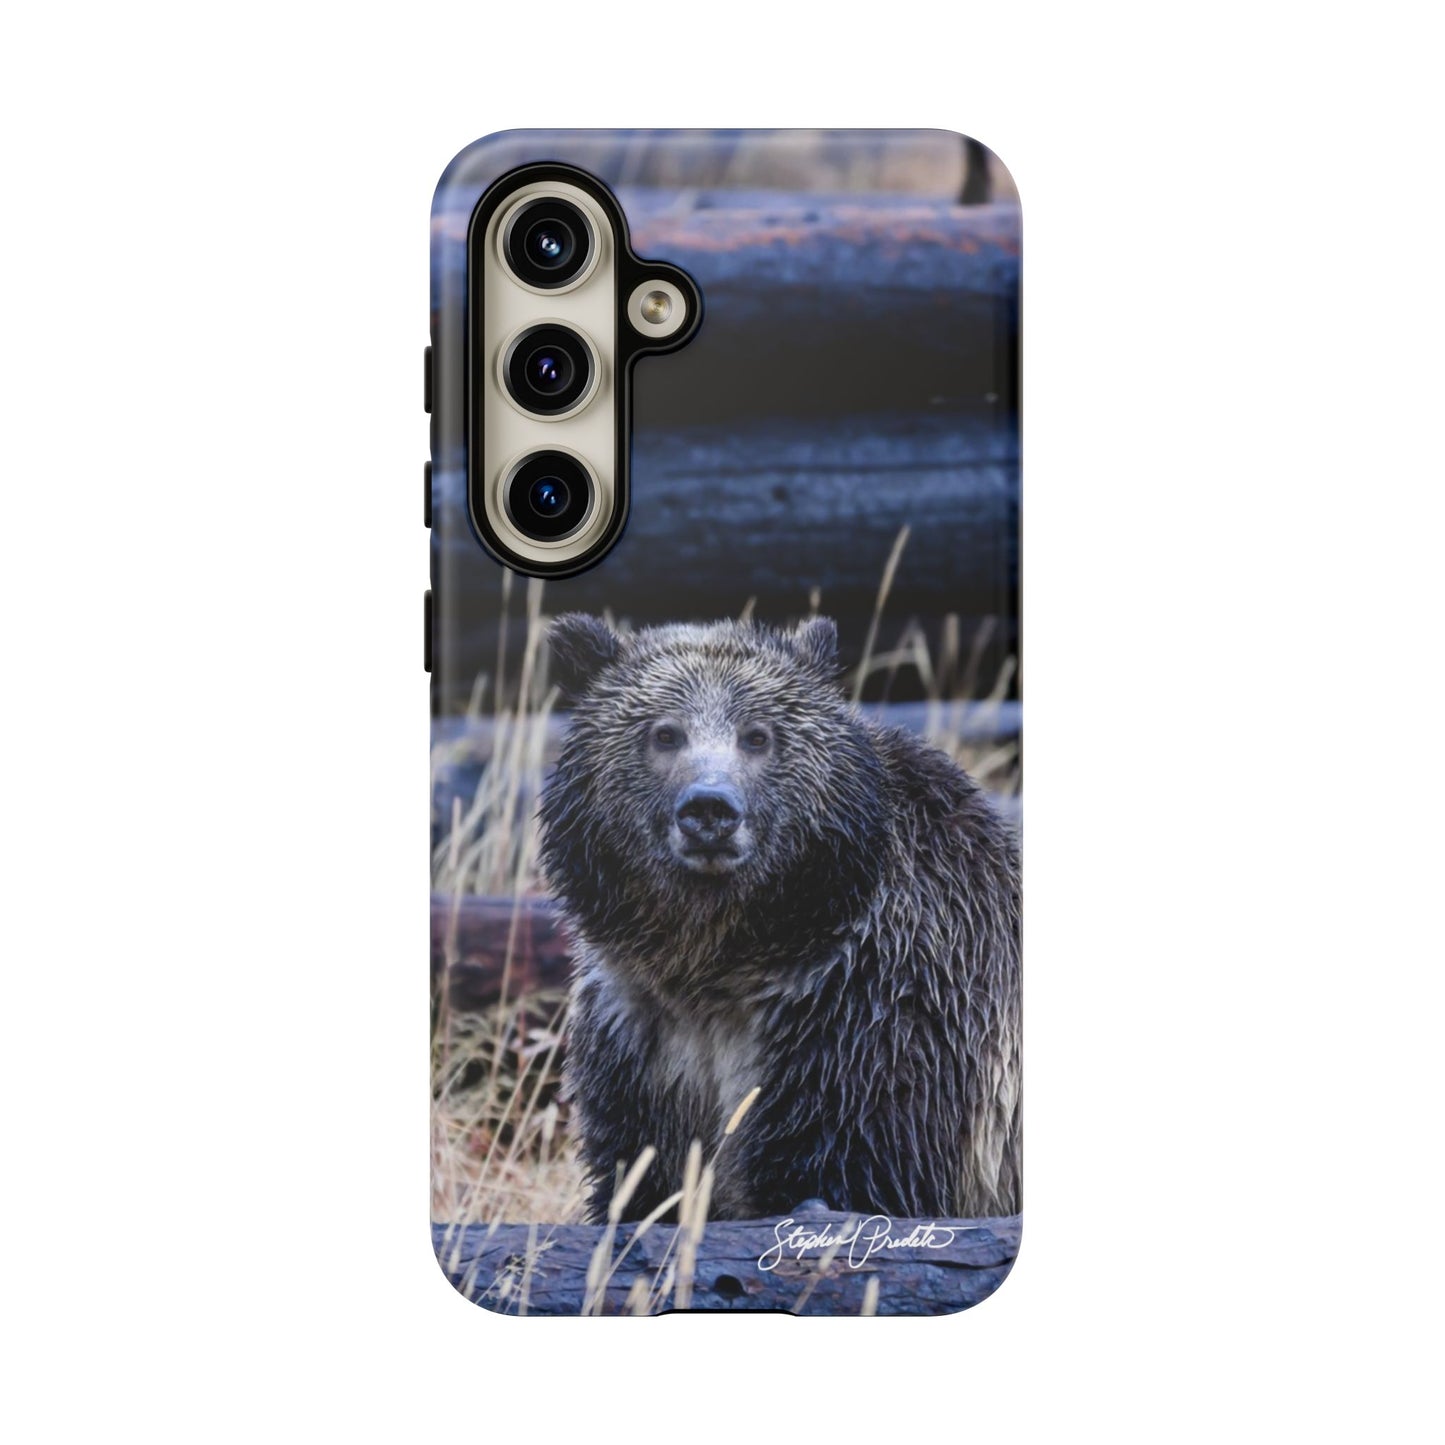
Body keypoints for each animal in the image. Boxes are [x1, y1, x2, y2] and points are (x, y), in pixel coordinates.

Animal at [539, 613, 1020, 1224]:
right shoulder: (641, 1035)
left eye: (757, 735)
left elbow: (850, 1167)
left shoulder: (875, 1015)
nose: (710, 809)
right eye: (665, 733)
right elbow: (638, 1176)